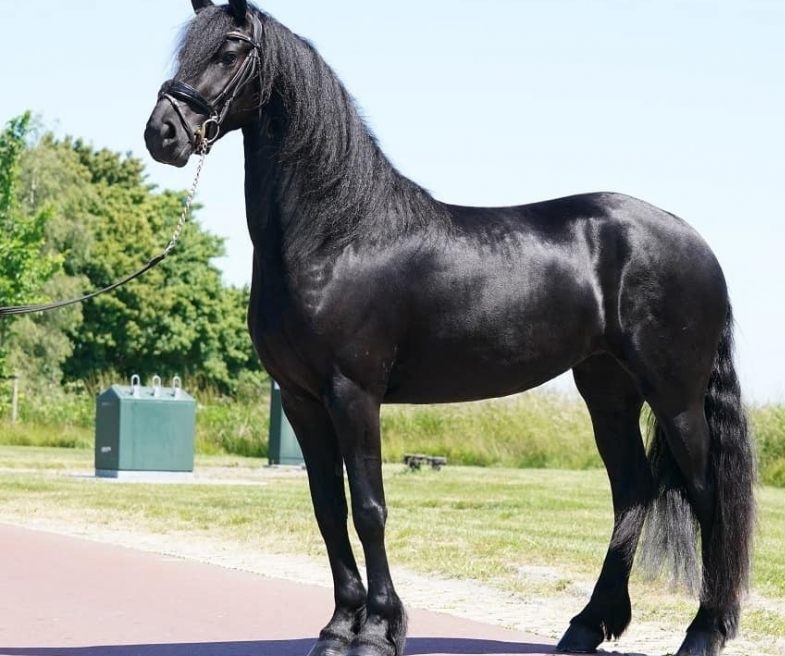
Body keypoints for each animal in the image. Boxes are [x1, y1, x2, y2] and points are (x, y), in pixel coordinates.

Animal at [144, 3, 756, 655]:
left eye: (231, 49)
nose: (162, 134)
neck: (337, 237)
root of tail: (692, 239)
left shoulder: (353, 394)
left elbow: (369, 508)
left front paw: (378, 630)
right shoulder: (301, 399)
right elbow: (328, 509)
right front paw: (337, 628)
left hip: (675, 396)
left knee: (709, 499)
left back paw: (703, 632)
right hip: (608, 390)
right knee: (633, 491)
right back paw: (588, 625)